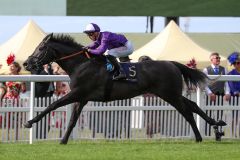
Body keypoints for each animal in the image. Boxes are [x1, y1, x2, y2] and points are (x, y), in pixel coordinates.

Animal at [23, 33, 227, 144]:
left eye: (40, 48)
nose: (26, 63)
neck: (82, 64)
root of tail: (172, 63)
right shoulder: (82, 97)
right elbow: (72, 120)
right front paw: (63, 140)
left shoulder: (77, 93)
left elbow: (52, 105)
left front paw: (29, 122)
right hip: (171, 93)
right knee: (193, 106)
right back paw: (216, 126)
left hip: (169, 94)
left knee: (187, 112)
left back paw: (200, 136)